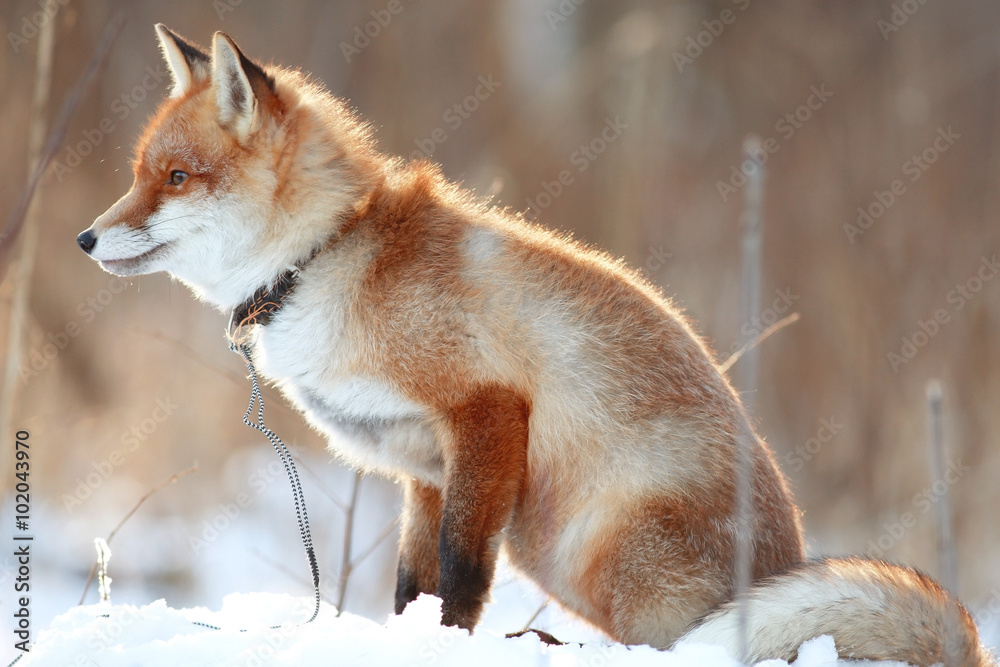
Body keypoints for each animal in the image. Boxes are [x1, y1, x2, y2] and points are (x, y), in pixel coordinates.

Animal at [76, 25, 994, 665]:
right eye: (138, 173)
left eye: (176, 179)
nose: (83, 239)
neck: (325, 256)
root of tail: (789, 557)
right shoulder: (424, 465)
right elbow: (411, 583)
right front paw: (407, 638)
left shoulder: (487, 410)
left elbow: (458, 576)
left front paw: (448, 644)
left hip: (581, 545)